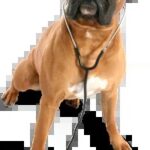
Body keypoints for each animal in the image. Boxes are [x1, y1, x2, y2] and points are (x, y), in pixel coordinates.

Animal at [1, 0, 131, 149]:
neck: (90, 34)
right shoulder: (49, 101)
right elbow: (40, 133)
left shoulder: (110, 93)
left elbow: (111, 120)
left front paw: (118, 141)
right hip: (25, 77)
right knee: (15, 82)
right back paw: (10, 93)